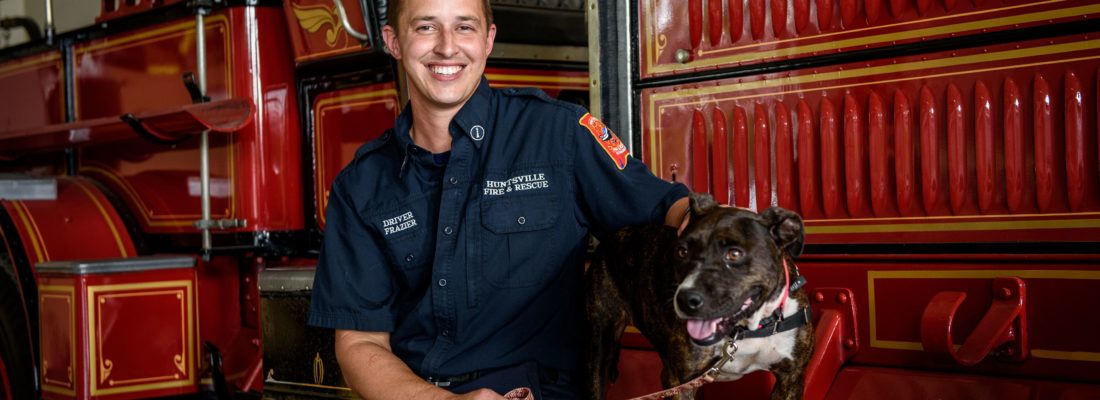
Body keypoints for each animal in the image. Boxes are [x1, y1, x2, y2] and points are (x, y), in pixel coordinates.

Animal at [589, 192, 814, 397]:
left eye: (734, 253)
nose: (684, 299)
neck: (746, 330)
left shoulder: (791, 378)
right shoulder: (679, 382)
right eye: (681, 252)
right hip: (599, 348)